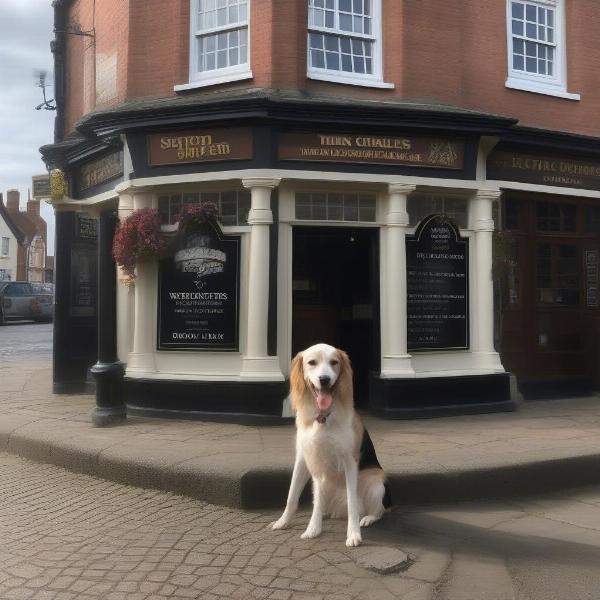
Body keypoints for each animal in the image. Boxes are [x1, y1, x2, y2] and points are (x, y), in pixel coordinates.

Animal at [270, 344, 392, 548]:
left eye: (334, 362)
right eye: (312, 362)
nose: (324, 379)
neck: (322, 418)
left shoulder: (350, 462)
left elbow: (352, 503)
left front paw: (353, 534)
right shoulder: (304, 459)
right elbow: (292, 495)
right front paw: (286, 522)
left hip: (375, 482)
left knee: (378, 510)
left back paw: (367, 518)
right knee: (320, 502)